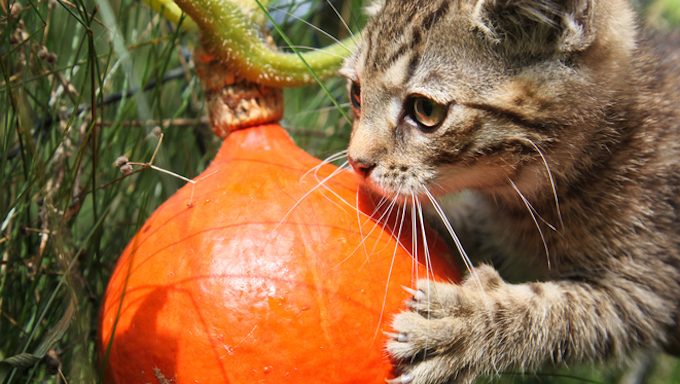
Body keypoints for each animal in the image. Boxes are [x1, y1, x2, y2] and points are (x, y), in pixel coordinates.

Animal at [342, 0, 680, 384]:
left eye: (426, 111)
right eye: (357, 93)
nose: (356, 161)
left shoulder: (647, 288)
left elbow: (559, 312)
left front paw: (468, 327)